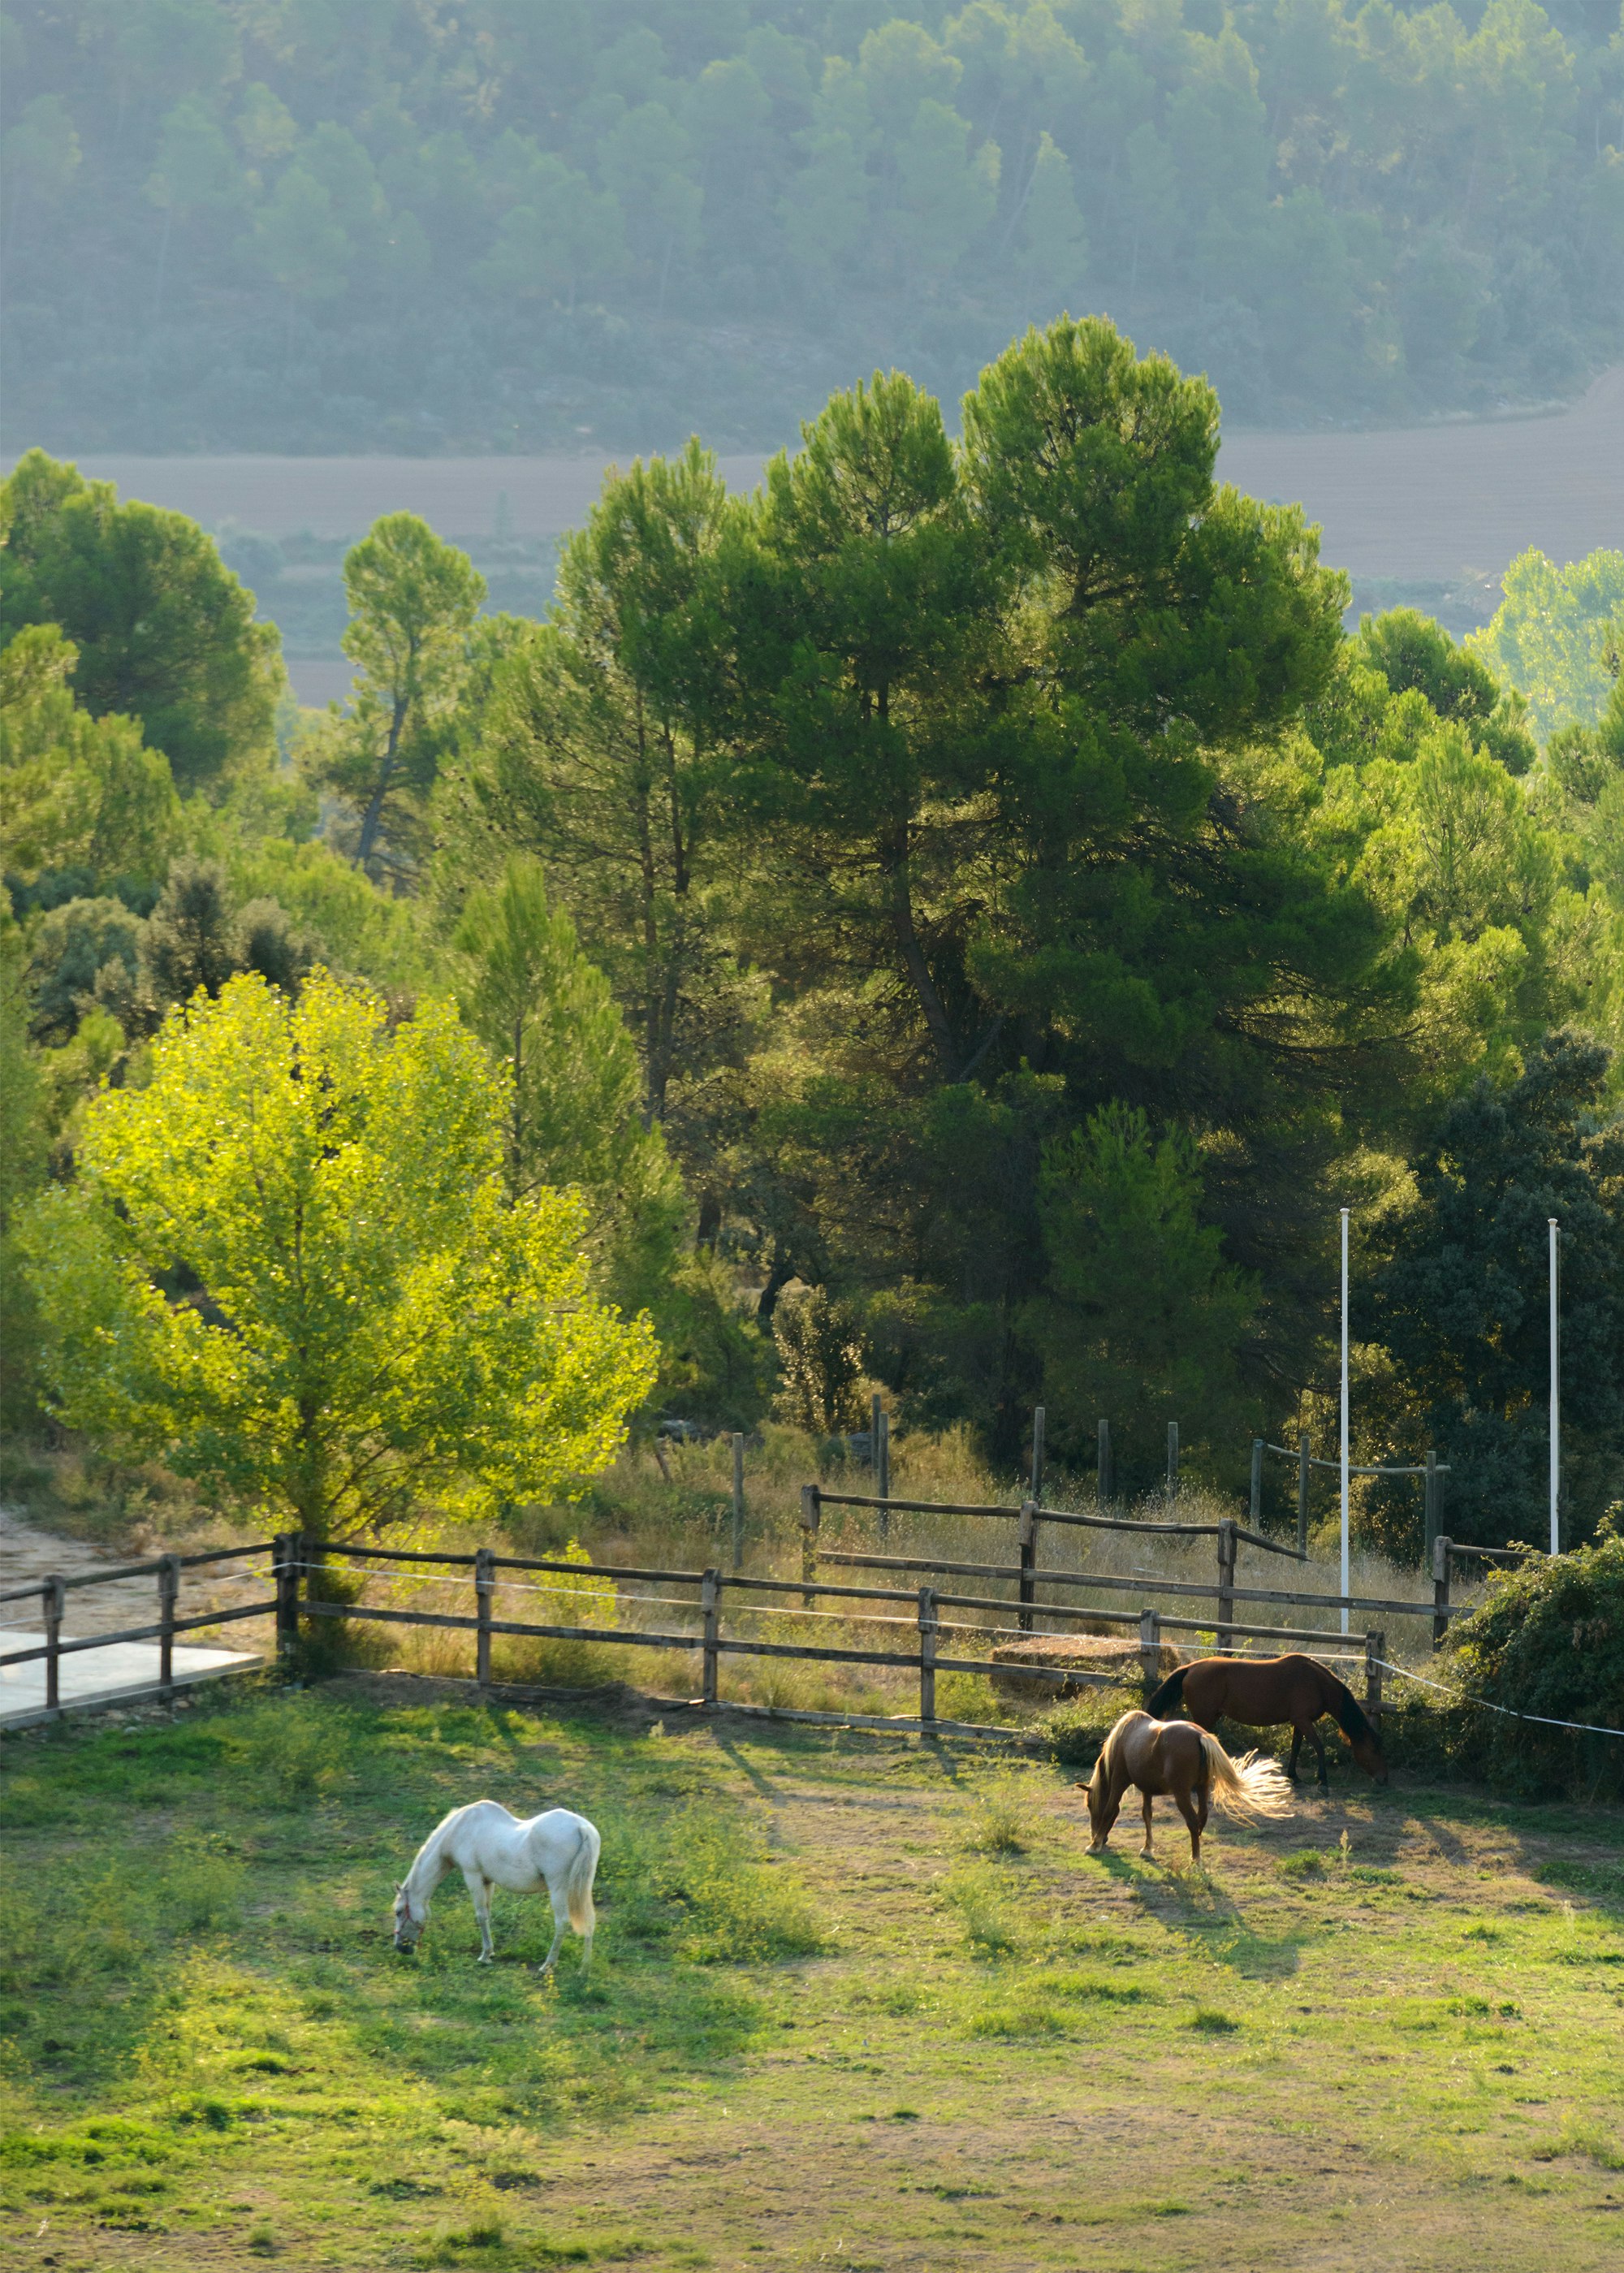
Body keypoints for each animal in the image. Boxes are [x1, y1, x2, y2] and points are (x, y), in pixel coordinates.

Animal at [391, 1801, 600, 1971]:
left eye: (399, 1912)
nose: (401, 1948)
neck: (459, 1829)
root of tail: (582, 1828)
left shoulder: (473, 1876)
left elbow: (481, 1915)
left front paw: (485, 1956)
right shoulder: (487, 1881)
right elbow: (488, 1914)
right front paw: (490, 1952)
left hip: (559, 1888)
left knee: (562, 1922)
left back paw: (547, 1965)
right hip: (583, 1889)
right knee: (589, 1921)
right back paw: (584, 1969)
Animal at [1081, 1708, 1294, 1864]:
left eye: (1090, 1806)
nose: (1098, 1838)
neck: (1125, 1738)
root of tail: (1201, 1736)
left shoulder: (1119, 1782)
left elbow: (1110, 1809)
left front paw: (1094, 1846)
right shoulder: (1147, 1789)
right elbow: (1147, 1815)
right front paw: (1148, 1848)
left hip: (1182, 1794)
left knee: (1192, 1820)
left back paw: (1196, 1859)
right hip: (1202, 1788)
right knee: (1201, 1818)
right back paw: (1196, 1851)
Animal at [1146, 1653, 1388, 1789]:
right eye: (1374, 1750)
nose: (1383, 1780)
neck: (1316, 1683)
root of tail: (1191, 1668)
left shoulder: (1298, 1722)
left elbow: (1296, 1747)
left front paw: (1294, 1777)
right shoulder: (1303, 1720)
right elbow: (1318, 1746)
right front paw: (1323, 1780)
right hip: (1205, 1717)